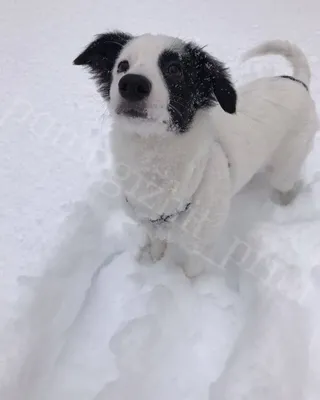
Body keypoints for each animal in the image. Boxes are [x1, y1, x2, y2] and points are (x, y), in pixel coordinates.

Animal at [74, 32, 318, 276]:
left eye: (174, 69)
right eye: (122, 65)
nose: (132, 84)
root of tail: (298, 82)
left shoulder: (200, 248)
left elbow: (190, 273)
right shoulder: (154, 229)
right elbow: (156, 250)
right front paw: (155, 266)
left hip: (286, 167)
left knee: (286, 185)